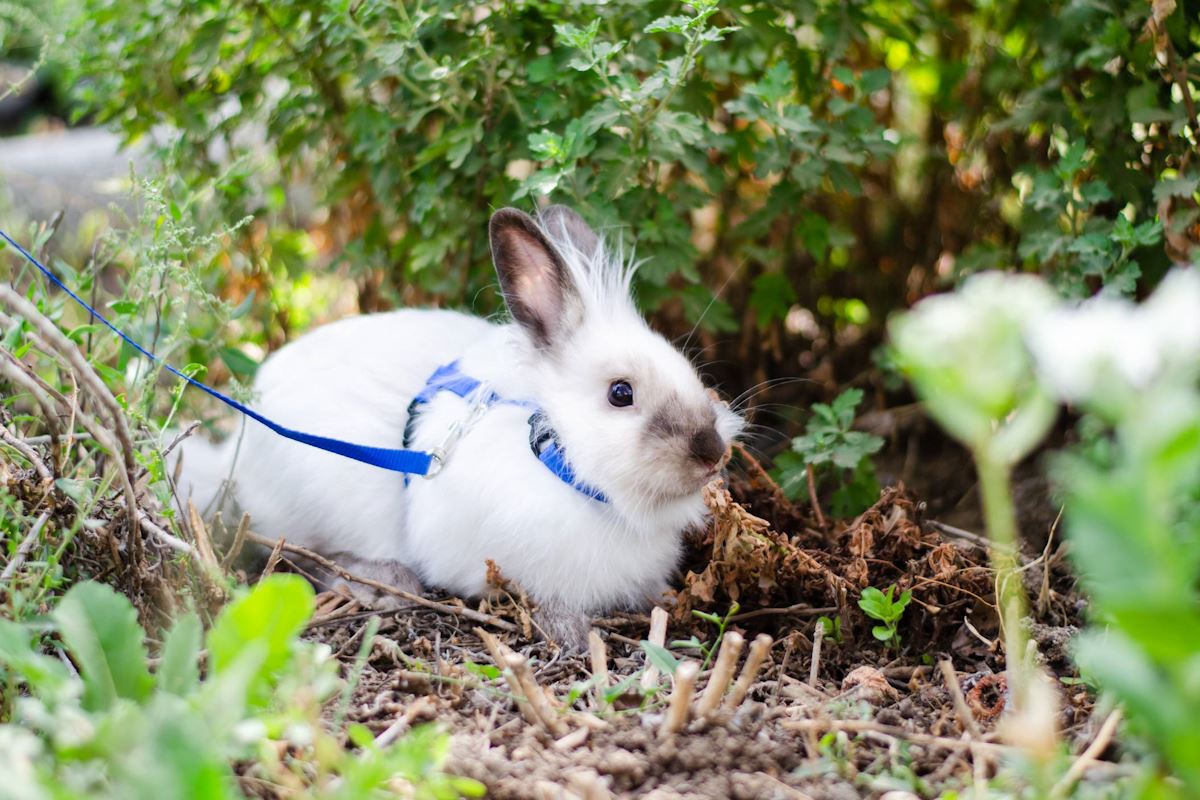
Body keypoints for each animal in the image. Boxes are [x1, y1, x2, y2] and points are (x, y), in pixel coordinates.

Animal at [179, 206, 743, 648]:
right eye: (620, 394)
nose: (711, 449)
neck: (553, 453)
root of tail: (237, 447)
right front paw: (576, 636)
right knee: (300, 558)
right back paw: (382, 581)